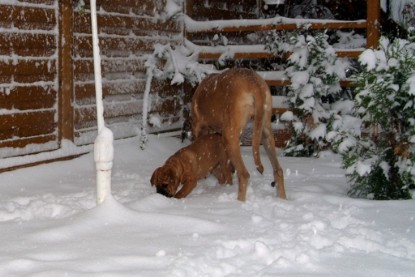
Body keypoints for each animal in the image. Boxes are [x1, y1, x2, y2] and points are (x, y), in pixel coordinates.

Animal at [193, 67, 288, 201]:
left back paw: (239, 202)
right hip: (265, 132)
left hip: (229, 137)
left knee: (244, 175)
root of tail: (254, 82)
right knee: (278, 170)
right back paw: (282, 199)